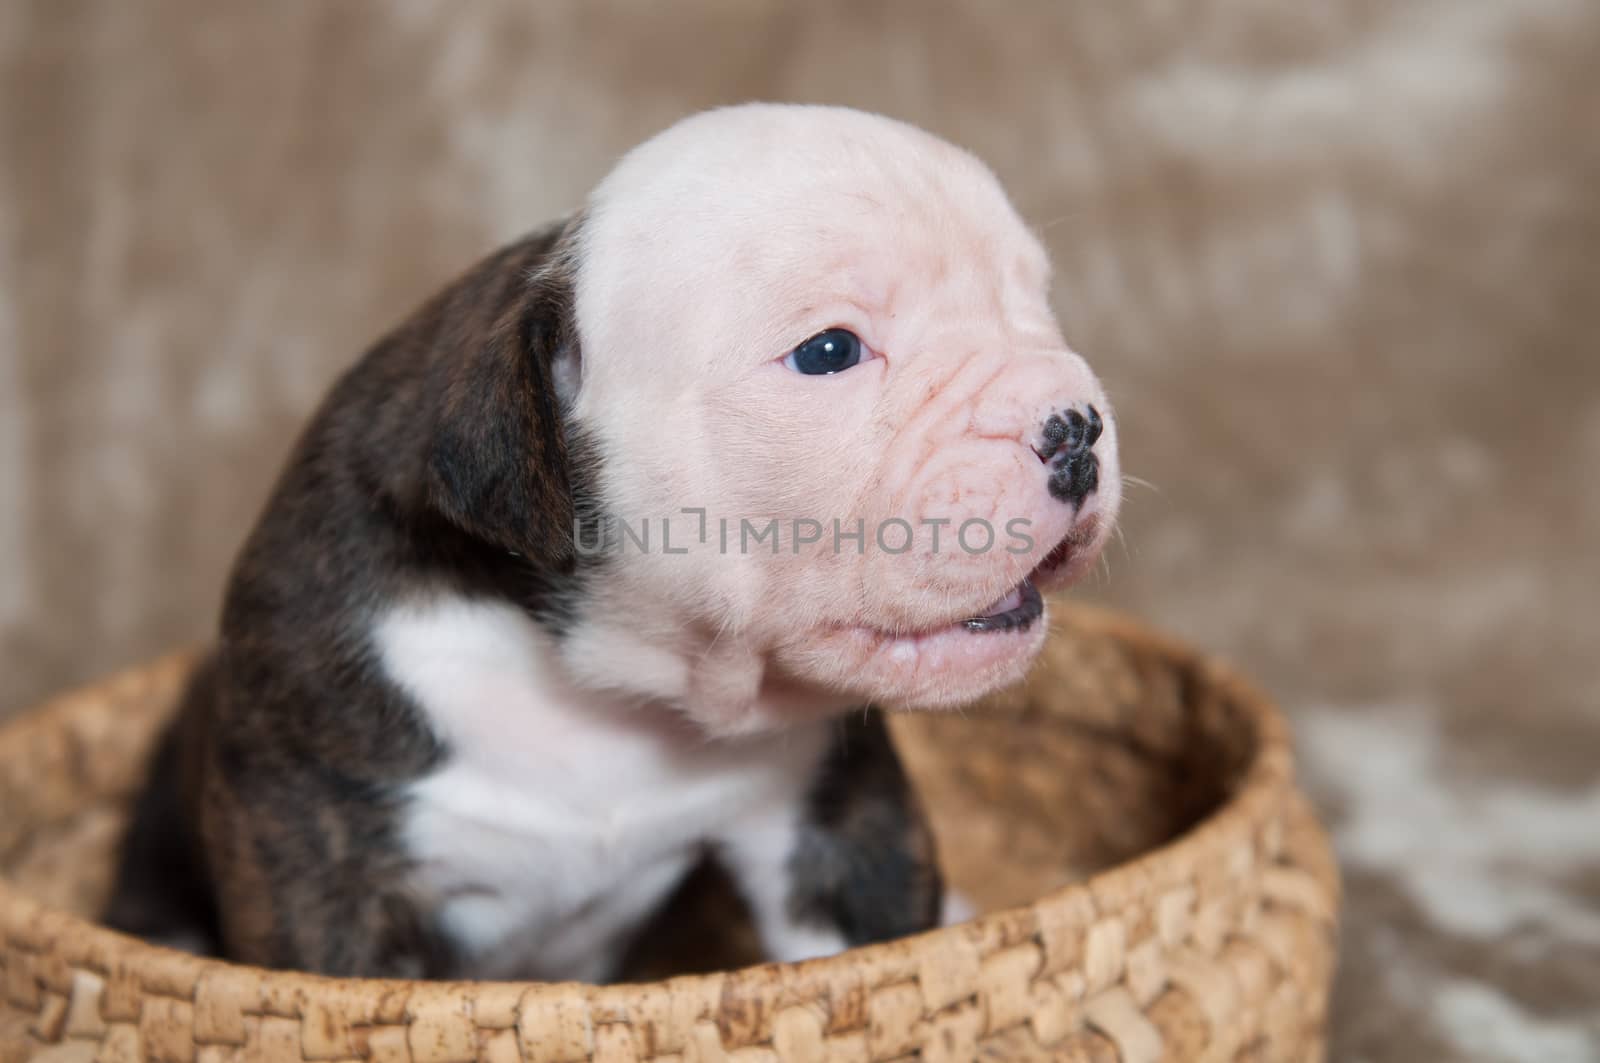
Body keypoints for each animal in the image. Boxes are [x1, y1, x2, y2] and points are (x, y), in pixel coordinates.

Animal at [106, 104, 1120, 986]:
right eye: (829, 351)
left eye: (1036, 305)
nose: (1075, 422)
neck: (607, 675)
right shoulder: (318, 864)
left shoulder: (836, 818)